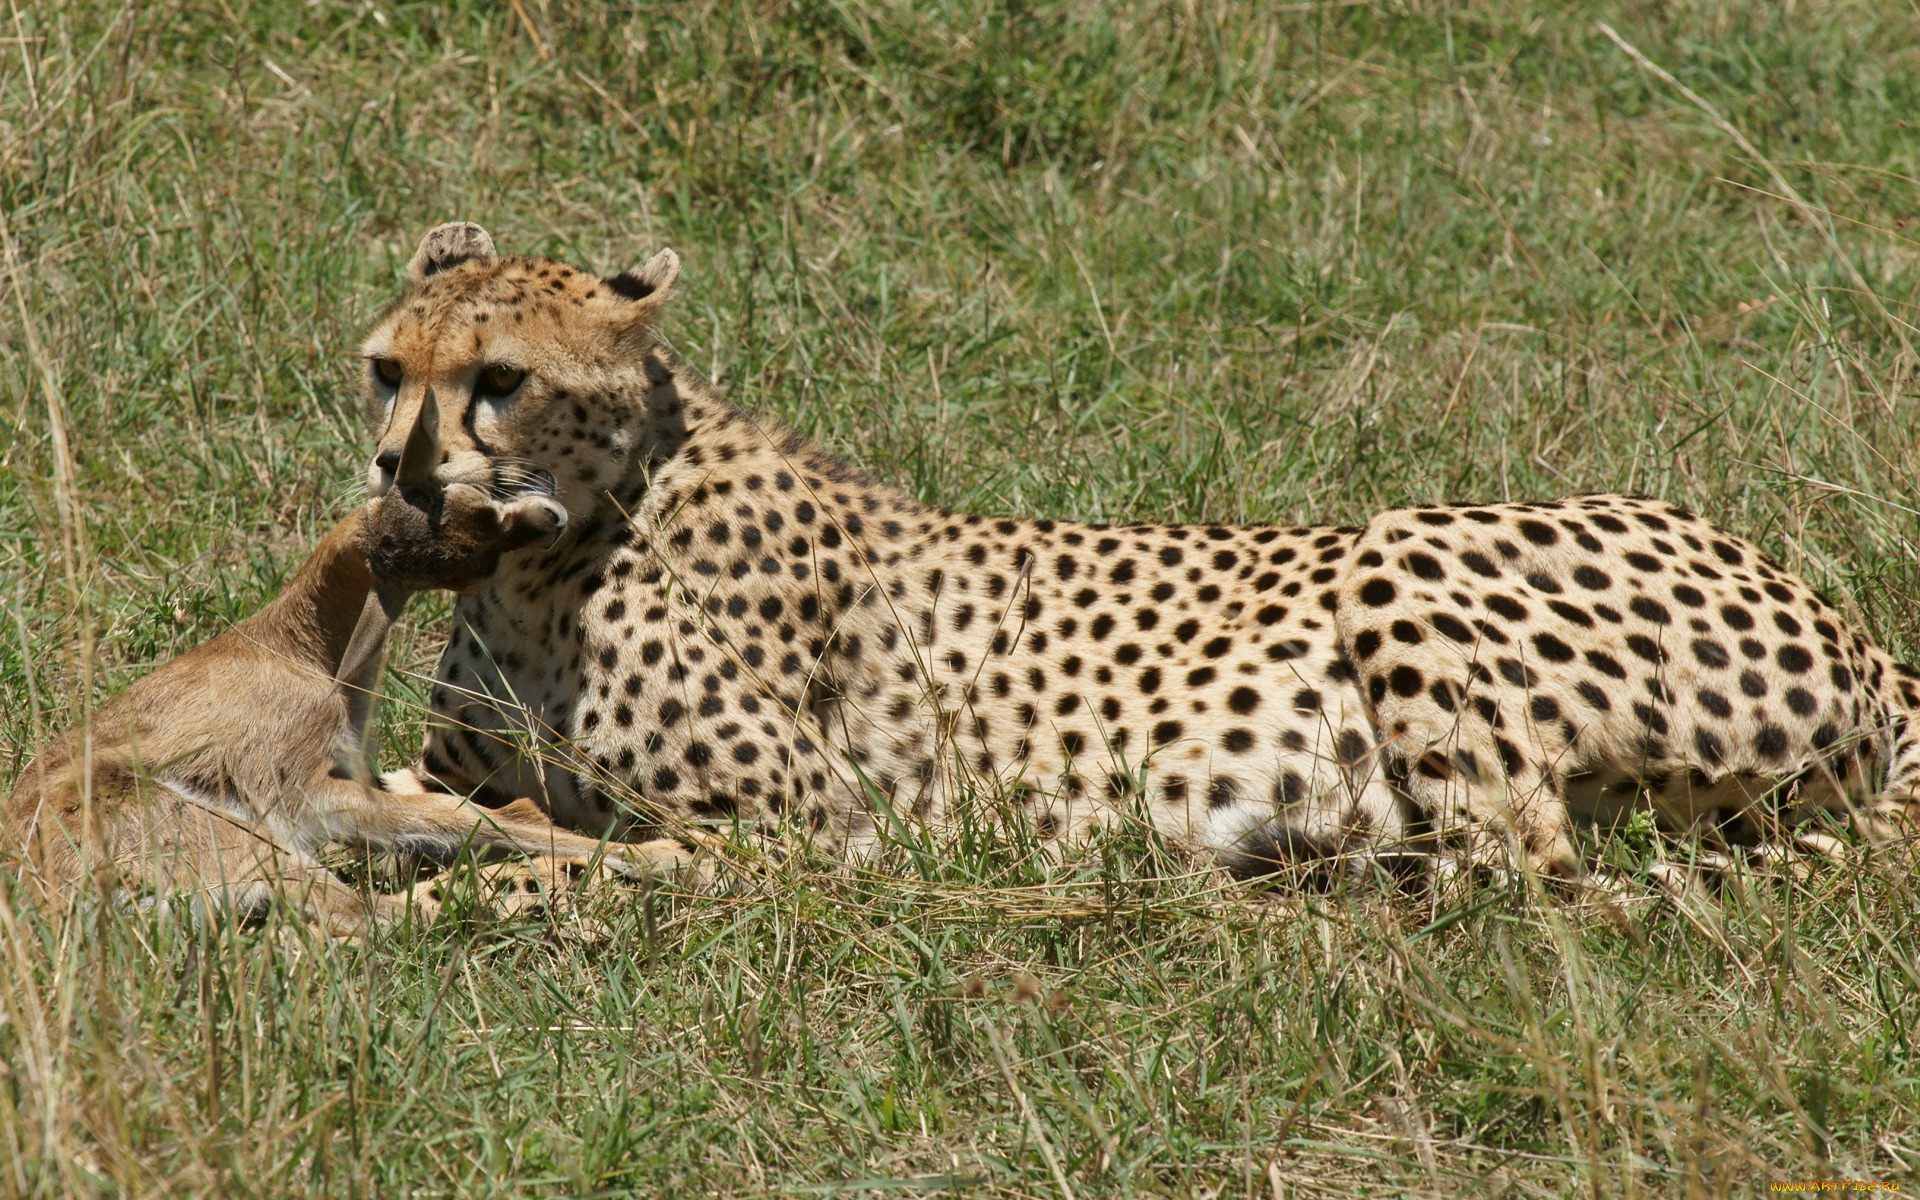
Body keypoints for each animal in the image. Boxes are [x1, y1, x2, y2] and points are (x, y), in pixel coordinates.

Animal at [3, 393, 672, 936]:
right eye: (467, 509)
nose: (550, 516)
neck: (293, 650)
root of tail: (39, 893)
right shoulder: (307, 789)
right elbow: (469, 815)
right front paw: (666, 854)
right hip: (246, 839)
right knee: (379, 916)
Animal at [362, 222, 1920, 879]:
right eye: (387, 369)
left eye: (499, 380)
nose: (400, 472)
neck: (546, 556)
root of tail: (1852, 626)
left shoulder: (819, 823)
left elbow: (572, 849)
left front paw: (477, 890)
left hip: (1409, 543)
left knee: (1526, 876)